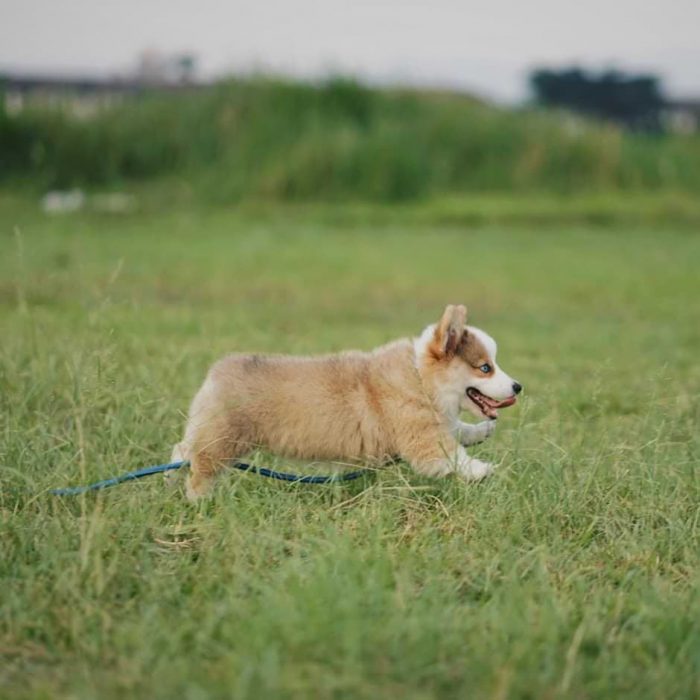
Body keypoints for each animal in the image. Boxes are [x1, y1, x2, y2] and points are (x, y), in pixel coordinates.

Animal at [176, 304, 520, 498]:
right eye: (485, 367)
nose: (518, 387)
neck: (421, 376)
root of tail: (217, 371)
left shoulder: (436, 421)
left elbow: (458, 430)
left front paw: (481, 431)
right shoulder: (421, 437)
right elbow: (451, 454)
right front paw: (481, 470)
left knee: (181, 451)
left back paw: (169, 479)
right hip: (222, 441)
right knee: (199, 468)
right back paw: (199, 502)